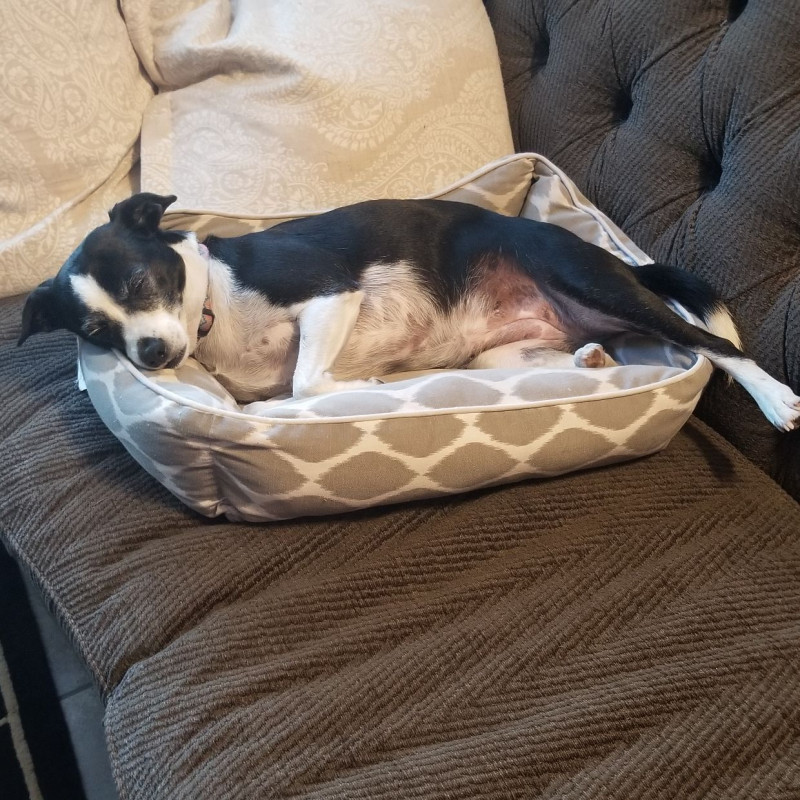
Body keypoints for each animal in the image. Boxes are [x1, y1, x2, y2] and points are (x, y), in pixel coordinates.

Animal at [18, 192, 800, 431]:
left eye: (141, 280)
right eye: (94, 330)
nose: (151, 355)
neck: (213, 307)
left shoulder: (330, 292)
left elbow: (305, 381)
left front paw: (363, 384)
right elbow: (285, 390)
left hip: (587, 280)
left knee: (712, 342)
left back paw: (776, 399)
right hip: (502, 354)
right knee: (580, 351)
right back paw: (591, 357)